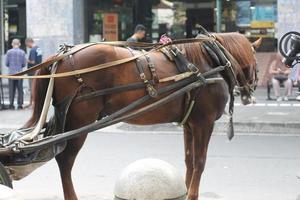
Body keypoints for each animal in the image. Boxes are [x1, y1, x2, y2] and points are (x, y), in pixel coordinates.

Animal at [25, 33, 260, 200]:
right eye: (257, 62)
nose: (250, 94)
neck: (213, 60)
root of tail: (59, 57)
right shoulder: (204, 122)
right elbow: (200, 162)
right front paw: (192, 194)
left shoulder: (190, 124)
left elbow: (189, 160)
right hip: (80, 120)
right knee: (65, 160)